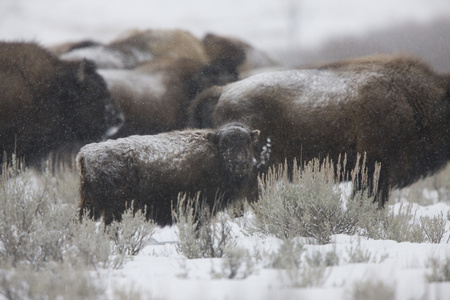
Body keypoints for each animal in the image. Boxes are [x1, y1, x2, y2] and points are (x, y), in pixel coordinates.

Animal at [76, 122, 260, 225]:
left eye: (248, 142)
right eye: (225, 144)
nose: (240, 163)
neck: (215, 154)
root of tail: (85, 153)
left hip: (92, 206)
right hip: (111, 209)